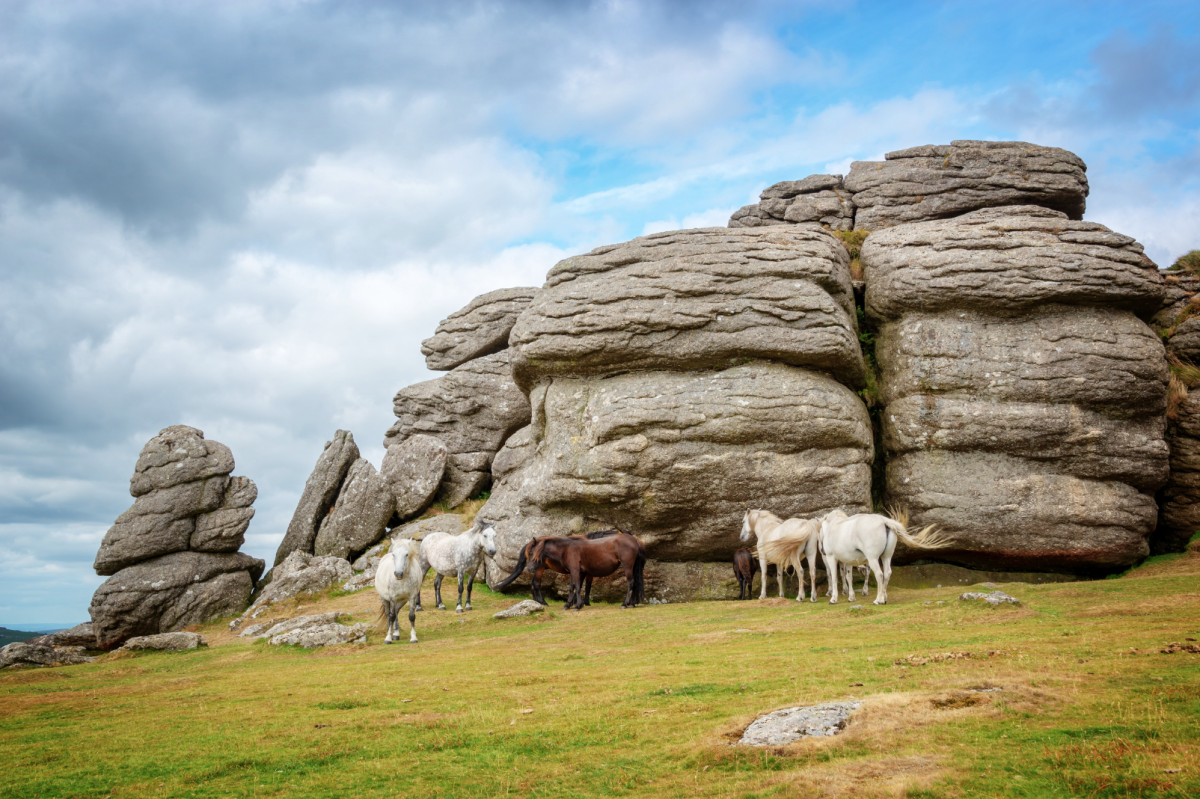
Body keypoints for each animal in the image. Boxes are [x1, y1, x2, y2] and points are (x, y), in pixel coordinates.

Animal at [494, 530, 641, 606]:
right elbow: (580, 586)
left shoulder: (582, 572)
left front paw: (580, 603)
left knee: (533, 584)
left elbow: (582, 586)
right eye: (530, 554)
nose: (529, 568)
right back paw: (542, 602)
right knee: (536, 584)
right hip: (539, 569)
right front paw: (579, 603)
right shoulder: (583, 572)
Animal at [818, 508, 950, 605]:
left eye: (819, 532)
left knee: (879, 575)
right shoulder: (849, 561)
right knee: (887, 574)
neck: (834, 526)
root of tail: (884, 521)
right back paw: (884, 597)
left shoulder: (831, 558)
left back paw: (879, 600)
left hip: (872, 559)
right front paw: (851, 597)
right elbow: (848, 577)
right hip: (886, 557)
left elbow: (835, 577)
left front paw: (834, 599)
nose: (822, 550)